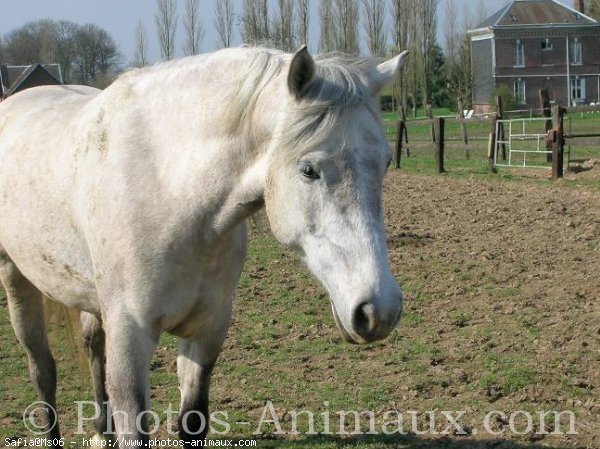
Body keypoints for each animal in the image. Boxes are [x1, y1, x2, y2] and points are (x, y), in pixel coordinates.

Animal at [0, 47, 408, 446]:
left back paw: (102, 431)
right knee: (42, 370)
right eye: (309, 170)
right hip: (16, 281)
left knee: (91, 346)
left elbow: (193, 421)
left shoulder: (207, 330)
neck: (168, 190)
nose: (379, 310)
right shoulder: (130, 337)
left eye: (386, 162)